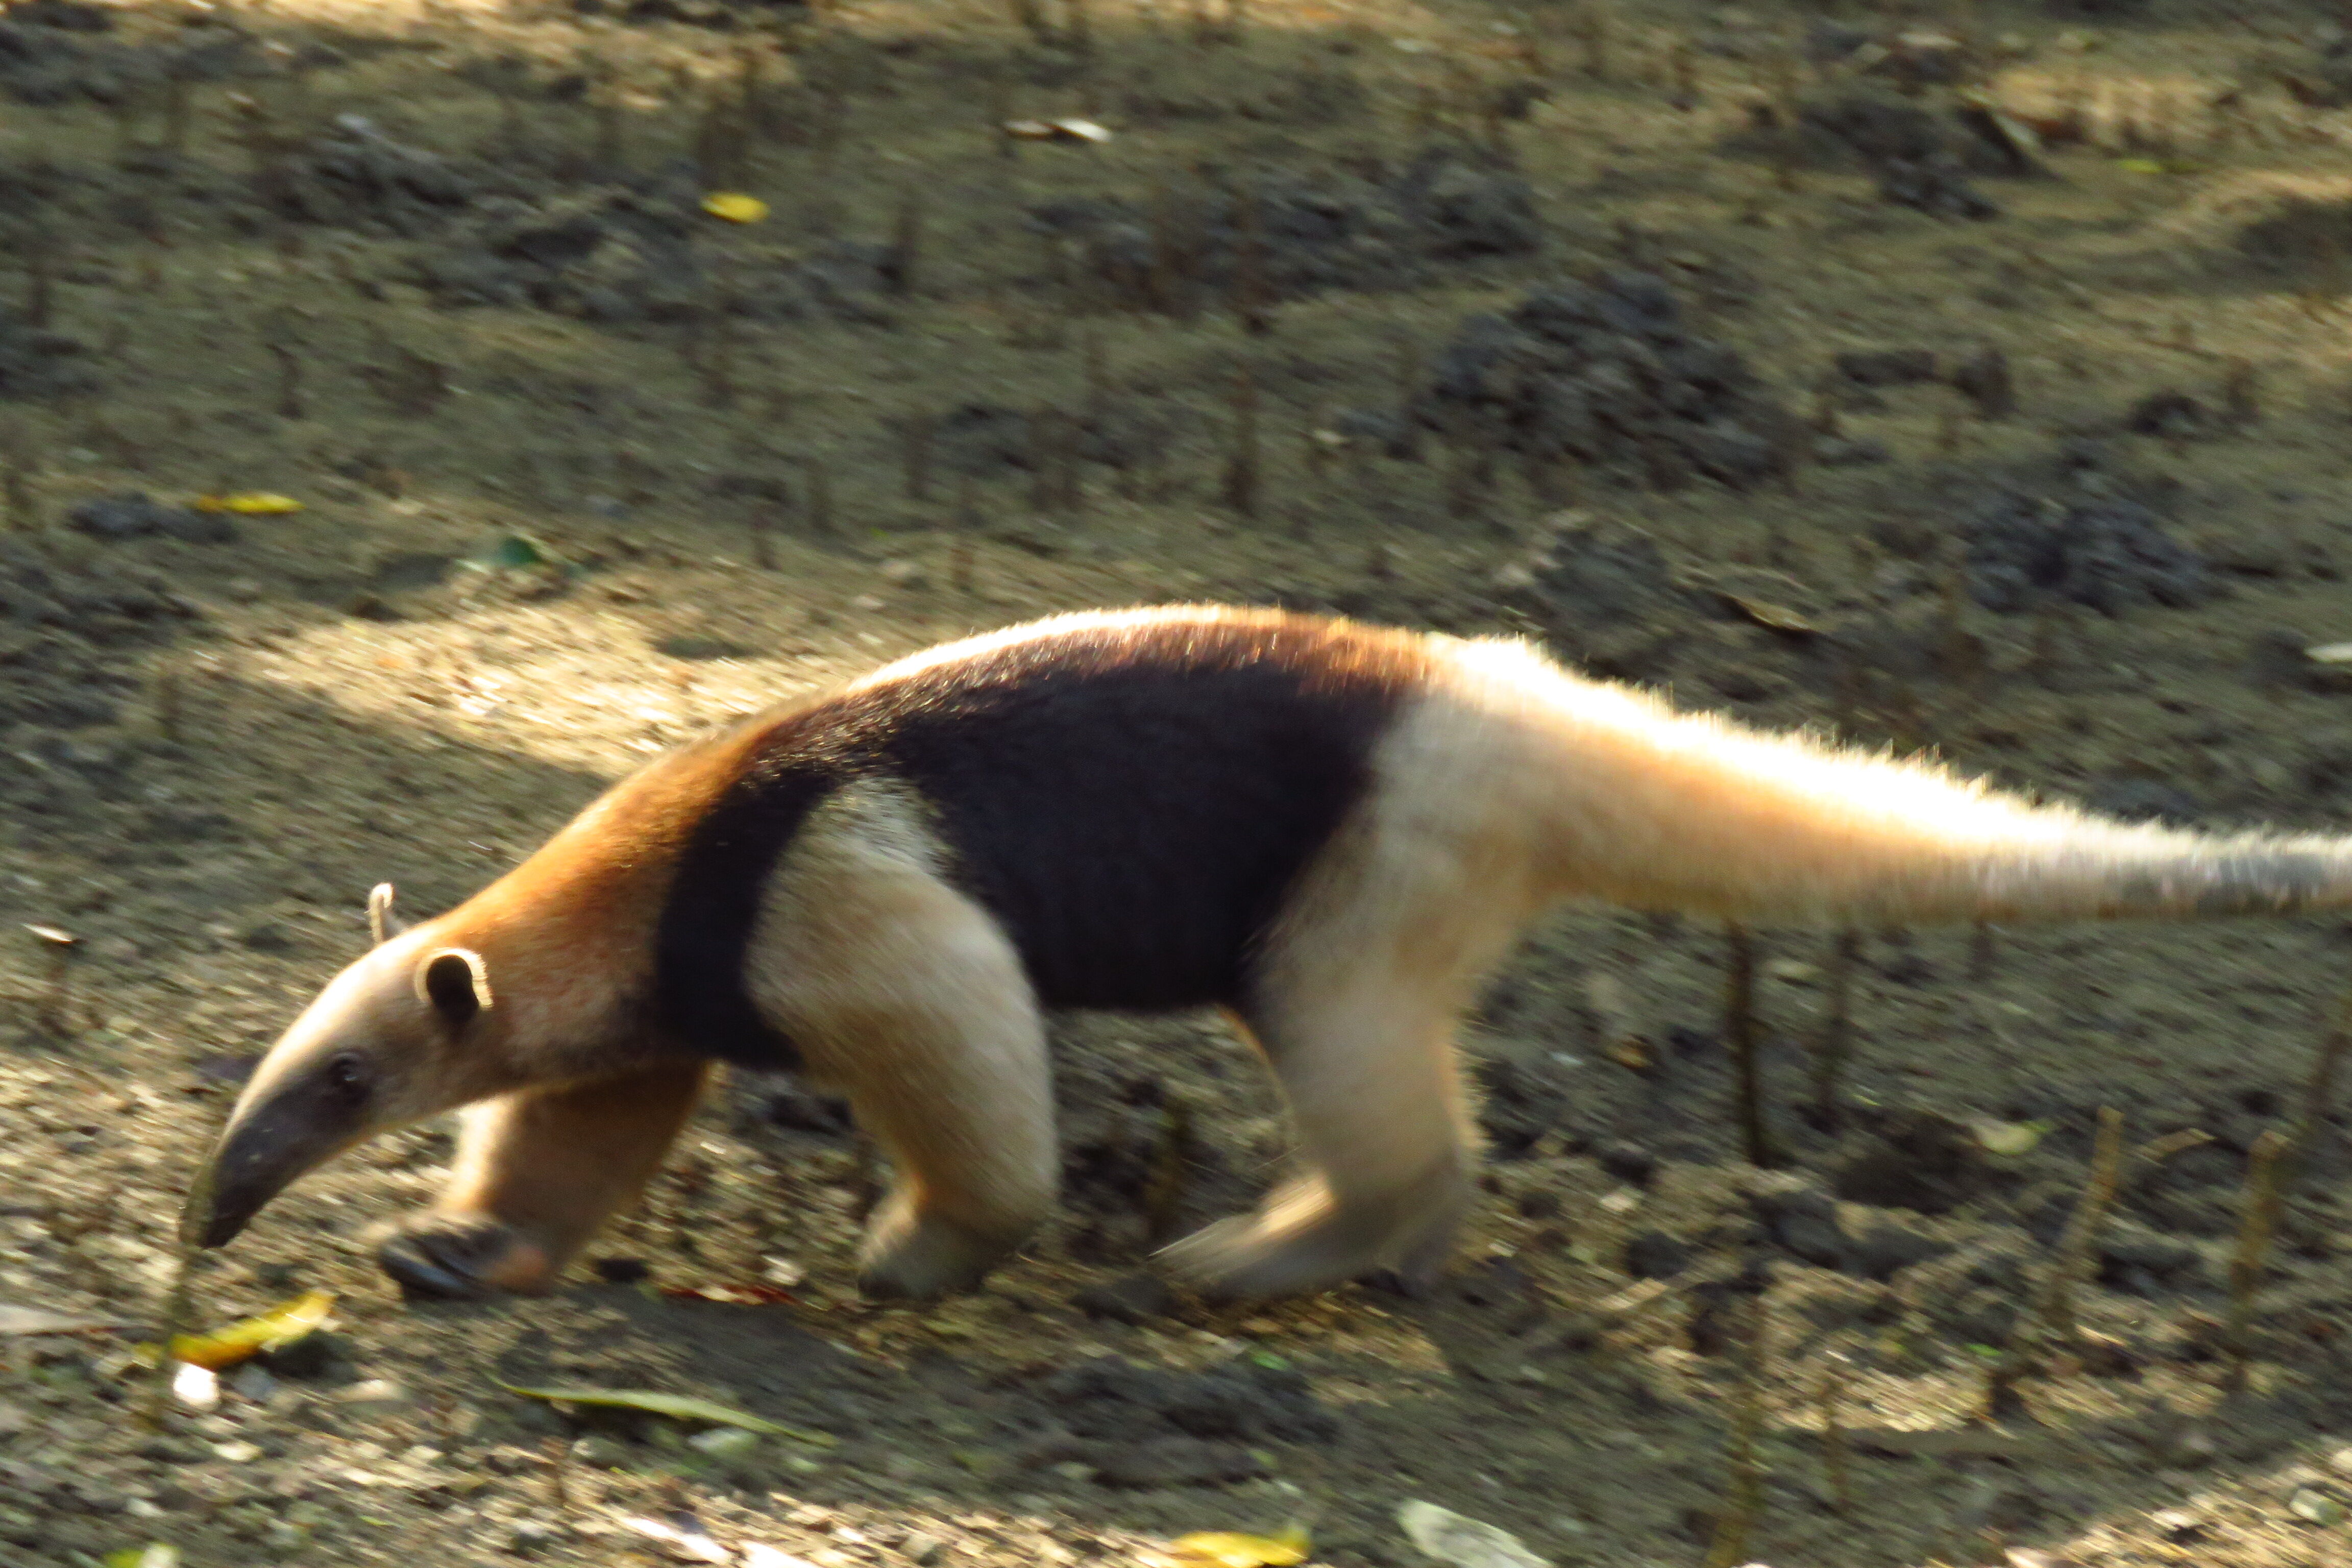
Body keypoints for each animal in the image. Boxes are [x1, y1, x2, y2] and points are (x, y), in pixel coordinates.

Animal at [186, 604, 2352, 1304]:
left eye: (349, 1075)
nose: (209, 1223)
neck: (671, 862)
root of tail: (1512, 717)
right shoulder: (679, 981)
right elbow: (602, 1102)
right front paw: (459, 1247)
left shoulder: (826, 903)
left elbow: (952, 1037)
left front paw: (910, 1252)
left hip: (1362, 868)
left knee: (1349, 1045)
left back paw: (1247, 1255)